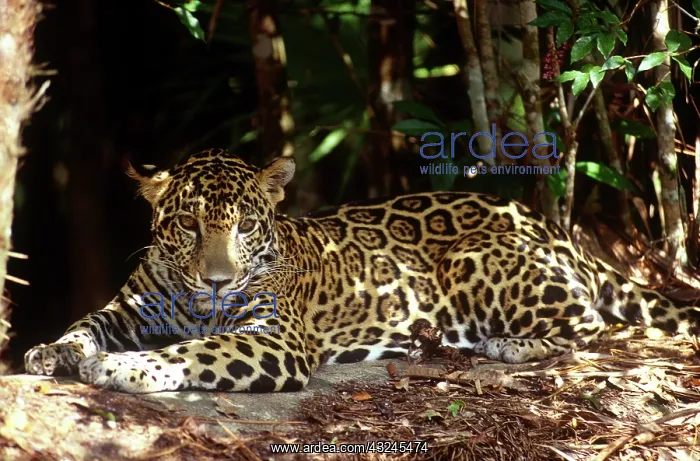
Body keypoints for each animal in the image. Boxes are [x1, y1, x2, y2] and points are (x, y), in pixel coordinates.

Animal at [24, 148, 700, 393]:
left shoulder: (275, 339)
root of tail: (553, 225)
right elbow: (86, 324)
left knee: (594, 325)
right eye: (188, 224)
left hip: (478, 259)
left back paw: (508, 344)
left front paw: (126, 367)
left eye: (245, 226)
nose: (216, 280)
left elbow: (195, 351)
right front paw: (51, 350)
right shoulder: (128, 309)